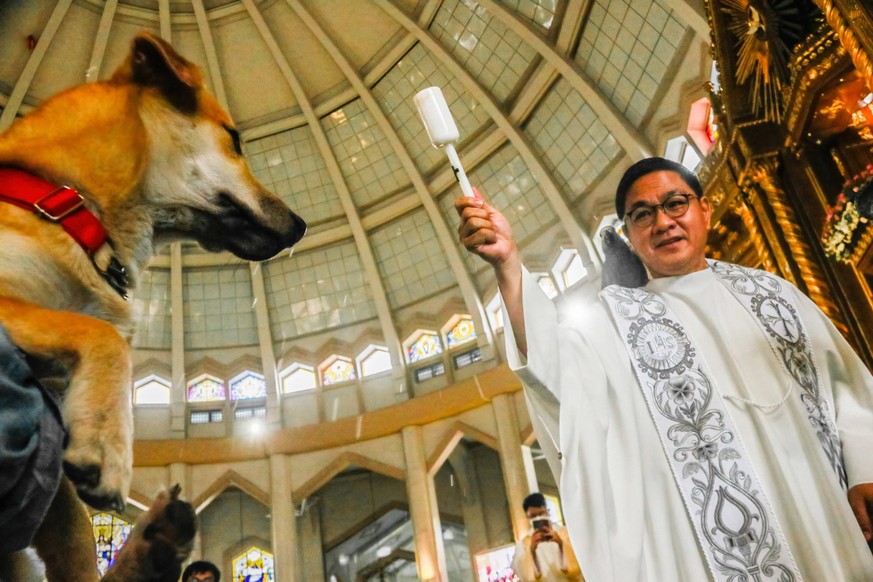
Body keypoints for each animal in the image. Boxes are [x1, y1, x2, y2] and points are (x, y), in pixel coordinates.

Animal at [0, 33, 306, 582]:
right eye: (234, 139)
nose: (301, 225)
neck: (69, 207)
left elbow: (74, 532)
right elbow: (105, 338)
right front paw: (107, 445)